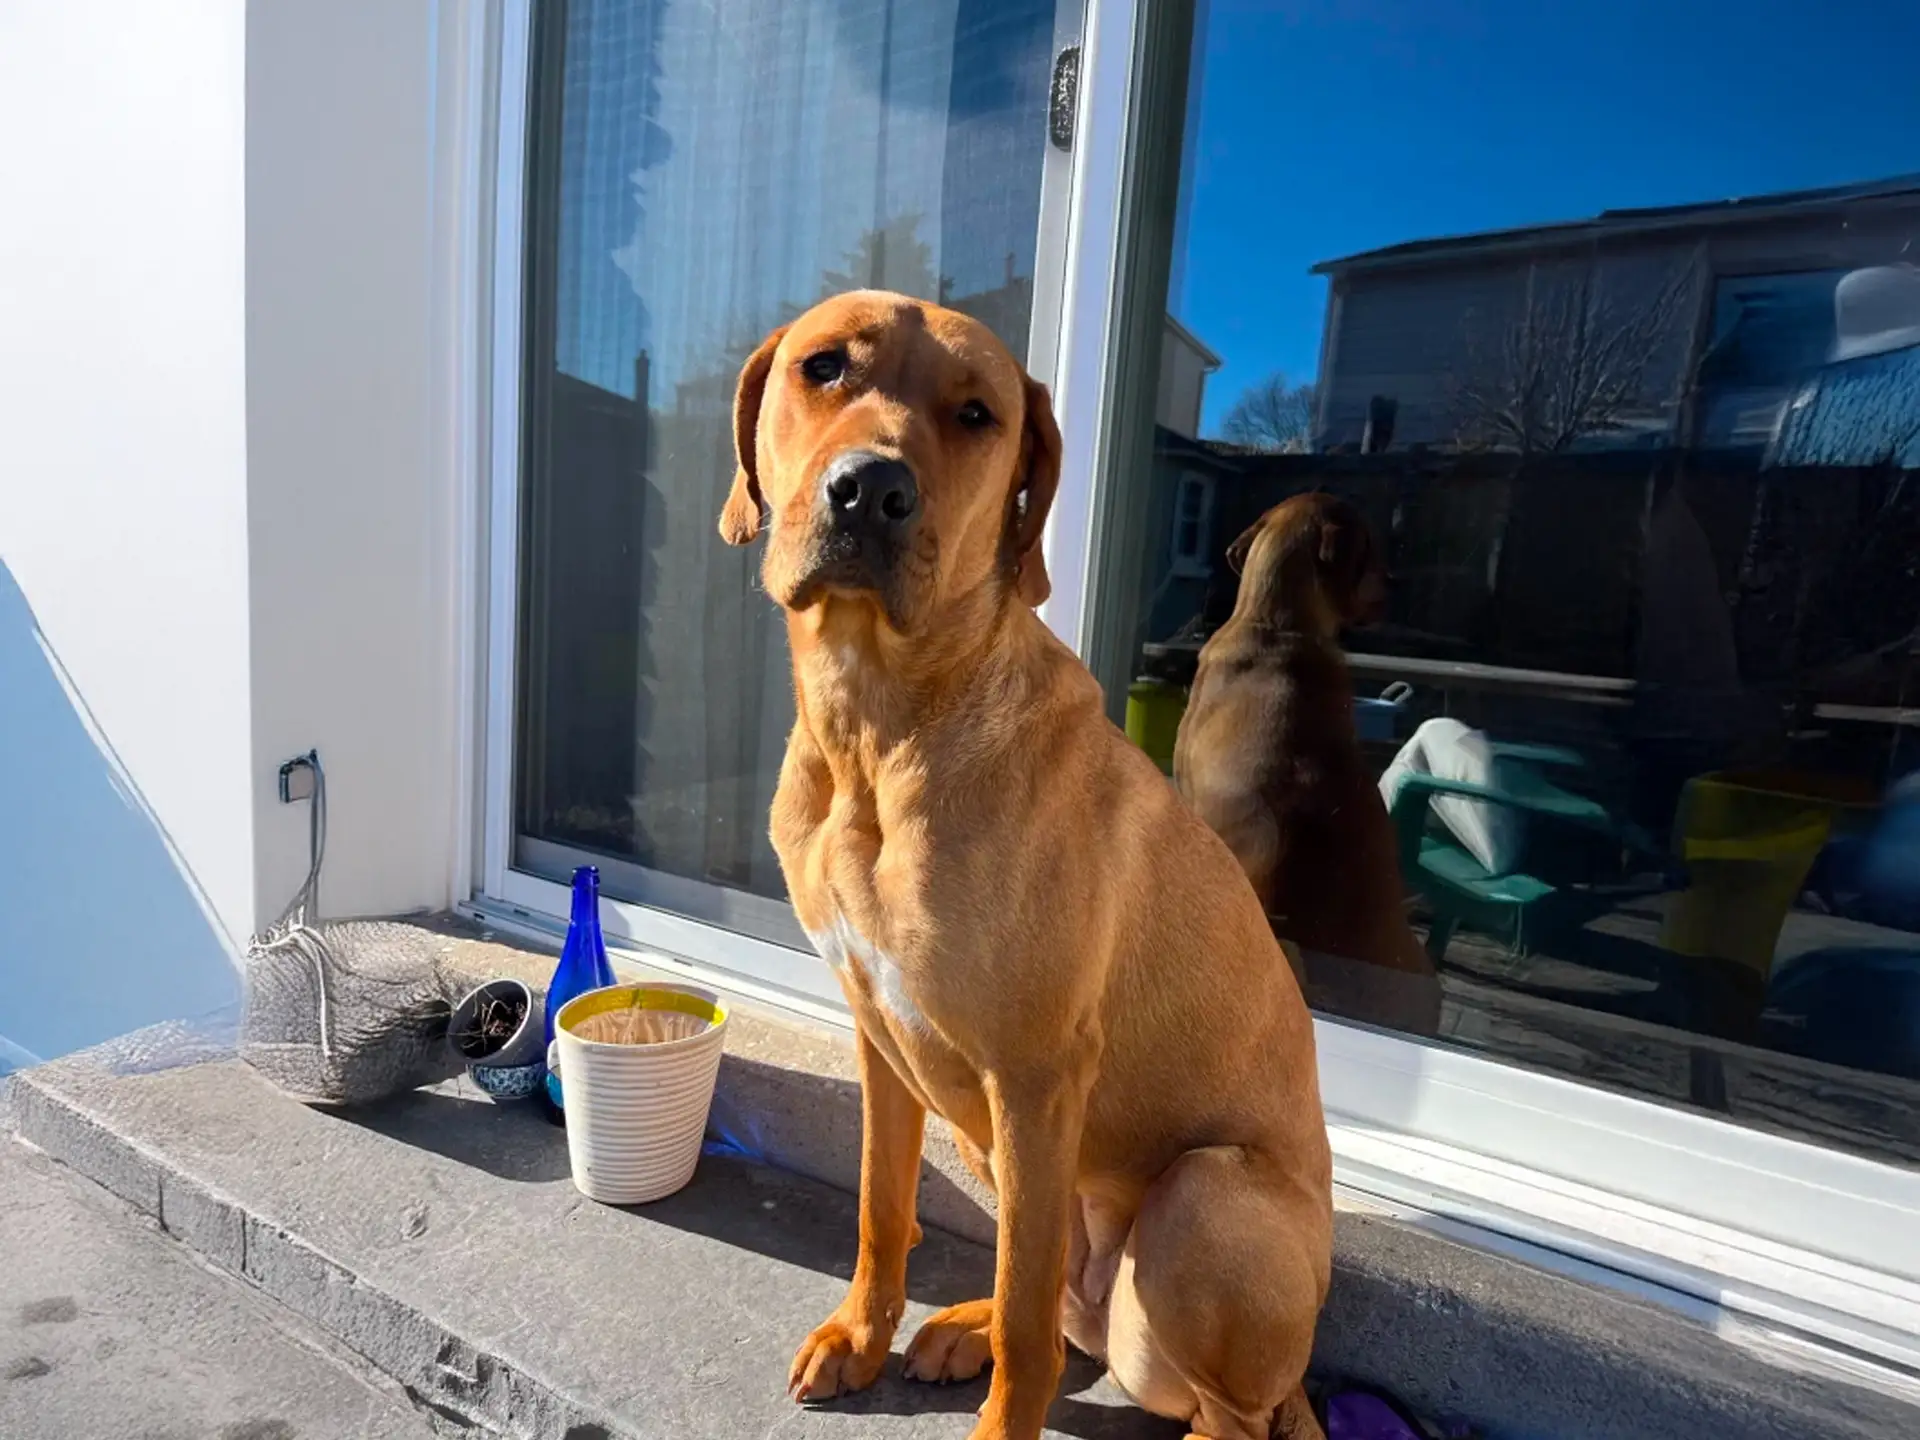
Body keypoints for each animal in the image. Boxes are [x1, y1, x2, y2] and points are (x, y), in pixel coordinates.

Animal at [714, 293, 1328, 1440]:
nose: (873, 490)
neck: (877, 729)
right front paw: (863, 1336)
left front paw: (1002, 1416)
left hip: (1200, 1203)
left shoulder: (1037, 1075)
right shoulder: (881, 1036)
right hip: (983, 1138)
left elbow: (1028, 1320)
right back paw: (963, 1327)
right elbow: (882, 1210)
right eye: (823, 367)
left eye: (976, 415)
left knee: (1202, 1398)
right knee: (1056, 1310)